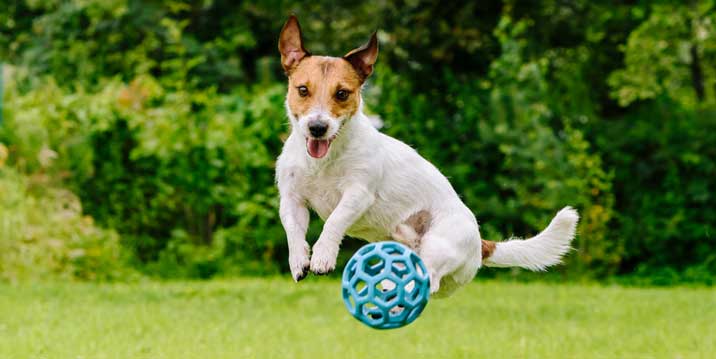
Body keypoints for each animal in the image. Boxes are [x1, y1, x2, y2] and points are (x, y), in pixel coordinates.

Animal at [276, 16, 580, 298]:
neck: (322, 162)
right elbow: (292, 230)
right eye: (302, 90)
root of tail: (481, 244)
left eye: (341, 93)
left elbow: (335, 220)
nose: (317, 128)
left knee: (428, 280)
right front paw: (299, 260)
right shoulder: (292, 198)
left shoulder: (358, 193)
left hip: (439, 247)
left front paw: (323, 255)